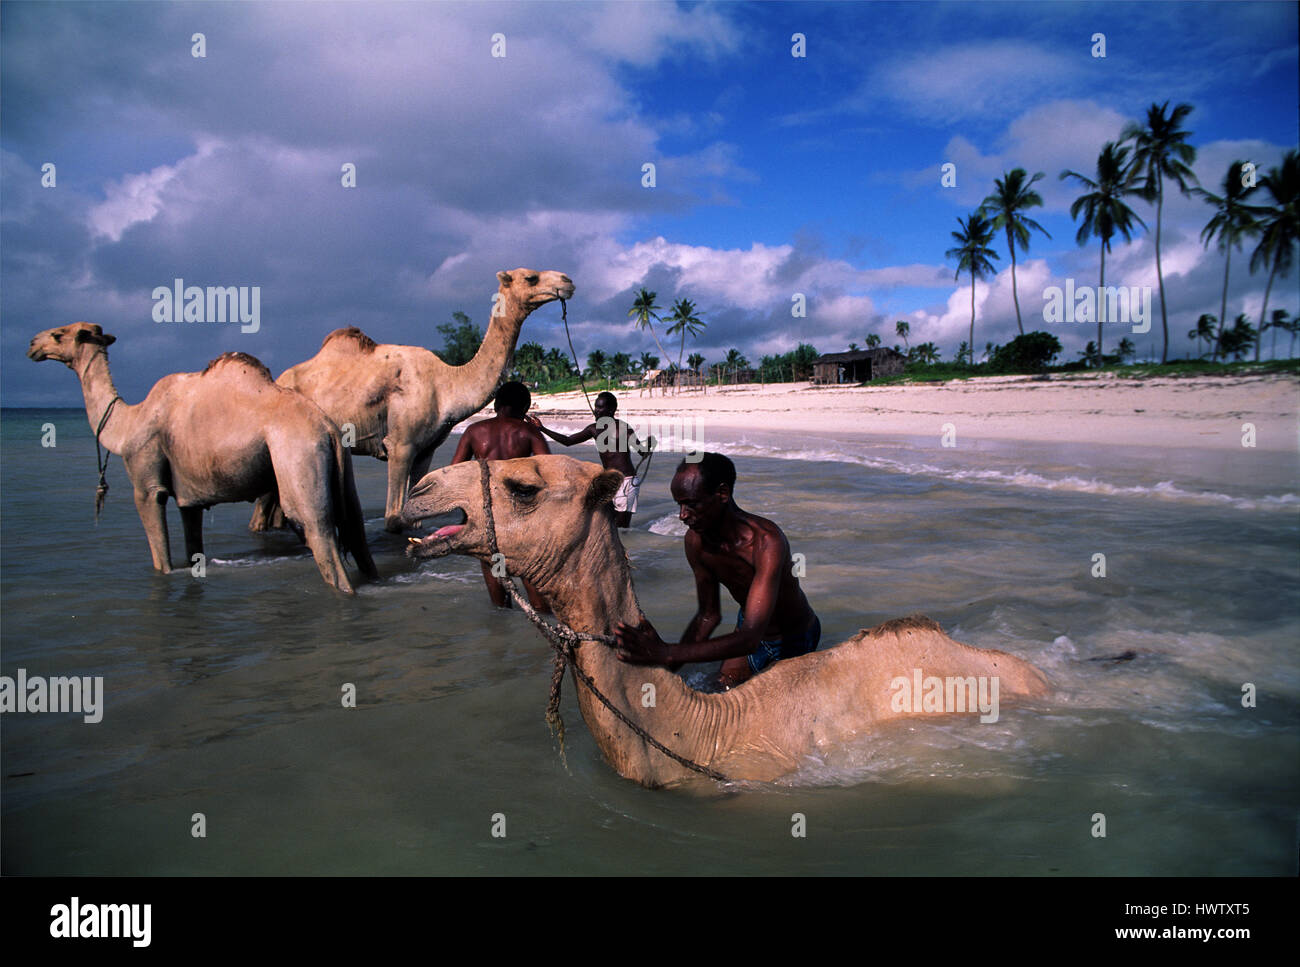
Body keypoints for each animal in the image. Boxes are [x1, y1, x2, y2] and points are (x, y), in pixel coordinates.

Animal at [27, 322, 377, 590]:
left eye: (59, 334)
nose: (32, 344)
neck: (128, 424)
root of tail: (326, 427)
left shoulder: (146, 484)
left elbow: (162, 560)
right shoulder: (189, 498)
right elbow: (192, 545)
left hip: (298, 456)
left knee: (319, 534)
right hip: (341, 468)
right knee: (357, 532)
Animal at [256, 267, 572, 532]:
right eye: (531, 277)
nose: (567, 281)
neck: (446, 385)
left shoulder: (426, 449)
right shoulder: (400, 444)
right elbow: (394, 519)